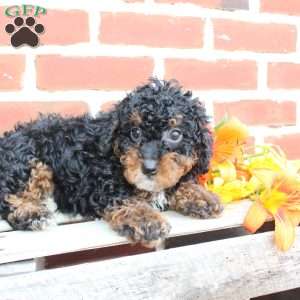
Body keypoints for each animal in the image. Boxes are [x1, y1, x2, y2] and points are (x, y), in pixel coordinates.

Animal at [0, 79, 223, 246]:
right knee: (8, 198)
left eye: (175, 134)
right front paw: (146, 219)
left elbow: (178, 183)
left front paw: (203, 196)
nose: (148, 168)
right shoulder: (102, 185)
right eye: (135, 132)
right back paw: (32, 215)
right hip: (28, 161)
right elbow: (126, 199)